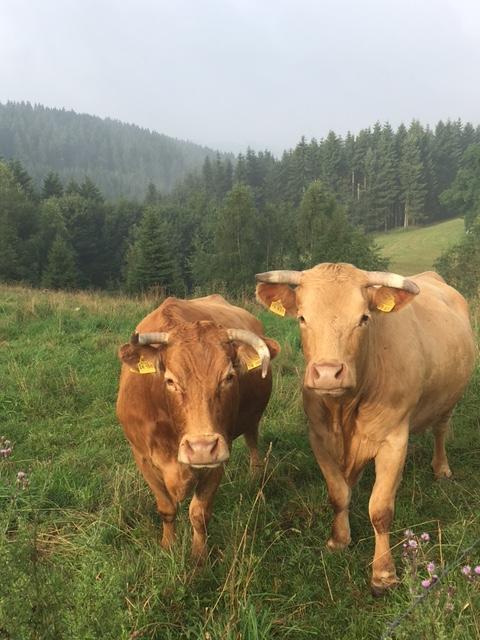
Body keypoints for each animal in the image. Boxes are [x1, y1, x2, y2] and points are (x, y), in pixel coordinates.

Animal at [116, 296, 280, 560]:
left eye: (229, 377)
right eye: (170, 380)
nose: (201, 448)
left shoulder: (218, 457)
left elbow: (199, 514)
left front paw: (198, 558)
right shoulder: (141, 457)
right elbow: (166, 507)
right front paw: (168, 546)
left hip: (252, 417)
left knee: (252, 439)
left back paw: (257, 477)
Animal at [256, 262, 474, 592]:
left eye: (364, 318)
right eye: (303, 317)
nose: (328, 373)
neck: (345, 409)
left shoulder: (394, 440)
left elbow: (380, 509)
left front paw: (383, 572)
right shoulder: (318, 436)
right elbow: (338, 493)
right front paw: (339, 539)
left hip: (449, 399)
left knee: (440, 431)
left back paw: (442, 469)